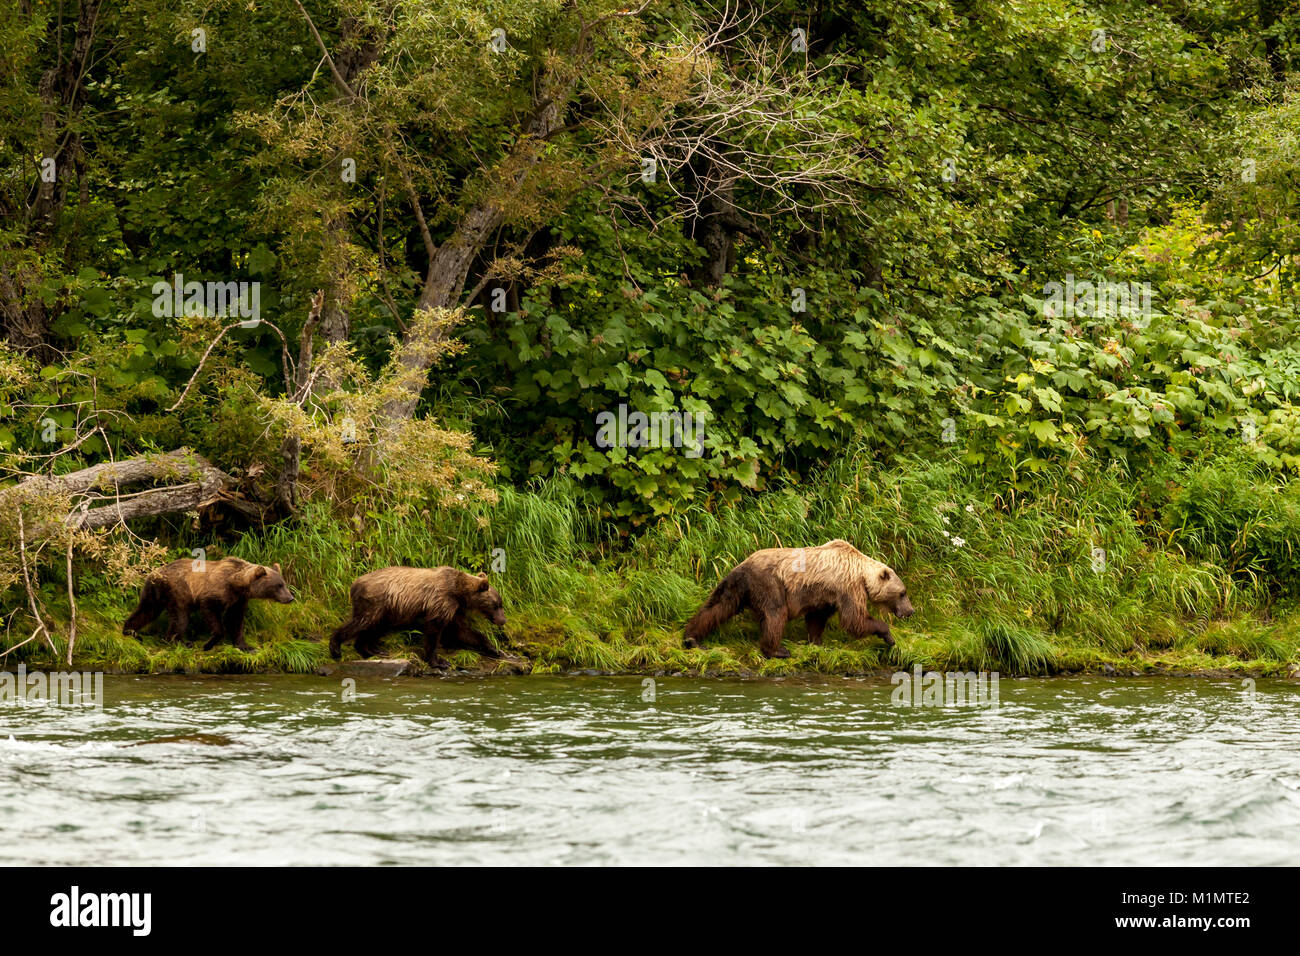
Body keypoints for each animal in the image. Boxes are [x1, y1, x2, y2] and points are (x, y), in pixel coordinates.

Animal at [122, 556, 295, 655]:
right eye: (278, 585)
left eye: (284, 583)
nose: (290, 598)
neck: (237, 583)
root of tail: (154, 574)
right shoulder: (215, 592)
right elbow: (212, 612)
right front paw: (208, 644)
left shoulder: (239, 599)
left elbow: (236, 620)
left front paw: (247, 646)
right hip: (178, 591)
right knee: (180, 617)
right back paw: (182, 642)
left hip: (152, 592)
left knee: (146, 611)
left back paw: (130, 631)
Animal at [325, 564, 506, 671]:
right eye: (496, 604)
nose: (503, 620)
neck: (460, 592)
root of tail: (354, 583)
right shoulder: (442, 600)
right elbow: (434, 631)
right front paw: (439, 661)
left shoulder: (454, 609)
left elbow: (463, 631)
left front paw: (494, 648)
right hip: (375, 602)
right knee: (362, 622)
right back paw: (336, 648)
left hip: (387, 610)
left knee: (376, 626)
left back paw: (372, 650)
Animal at [681, 538, 915, 658]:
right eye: (903, 592)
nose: (911, 611)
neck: (861, 573)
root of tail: (743, 565)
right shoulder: (848, 587)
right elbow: (854, 619)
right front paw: (888, 636)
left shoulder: (825, 594)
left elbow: (817, 618)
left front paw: (817, 642)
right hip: (769, 583)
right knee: (775, 614)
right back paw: (777, 650)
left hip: (735, 586)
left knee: (716, 607)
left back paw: (692, 638)